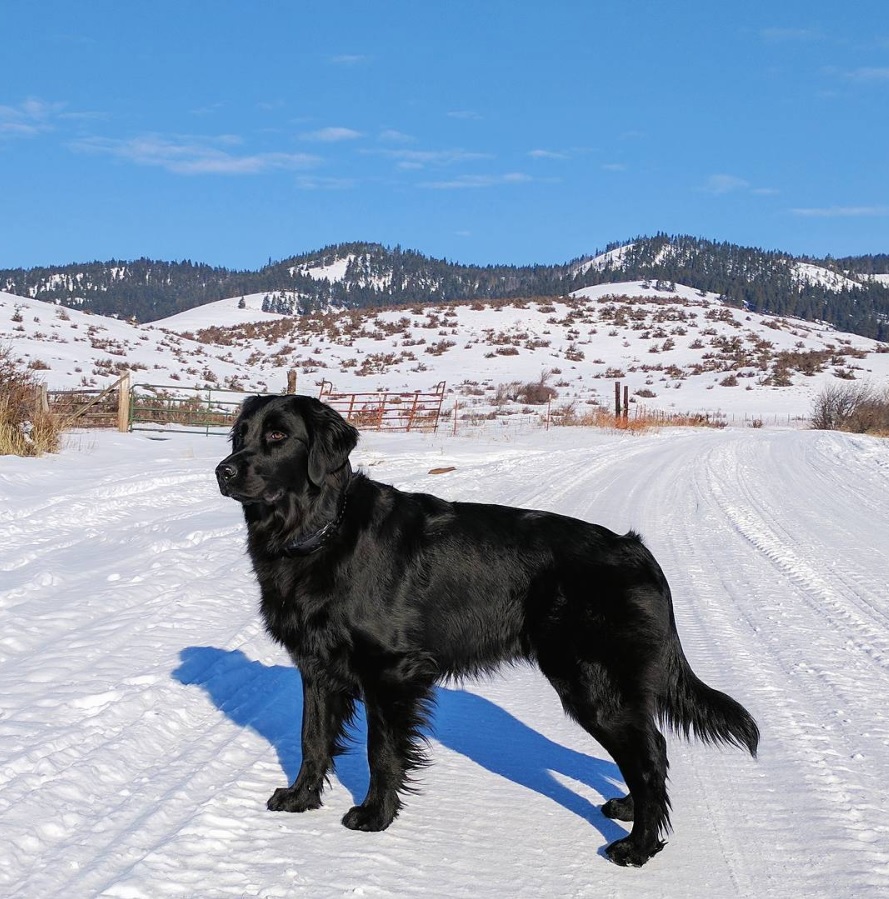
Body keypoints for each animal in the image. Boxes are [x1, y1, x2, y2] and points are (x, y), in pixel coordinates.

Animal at [215, 396, 756, 864]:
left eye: (278, 435)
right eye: (239, 434)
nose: (223, 471)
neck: (321, 531)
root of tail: (639, 550)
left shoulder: (390, 671)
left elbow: (381, 751)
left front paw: (375, 816)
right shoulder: (317, 667)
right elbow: (312, 739)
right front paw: (300, 798)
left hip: (594, 684)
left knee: (647, 757)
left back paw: (638, 847)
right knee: (650, 749)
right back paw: (626, 809)